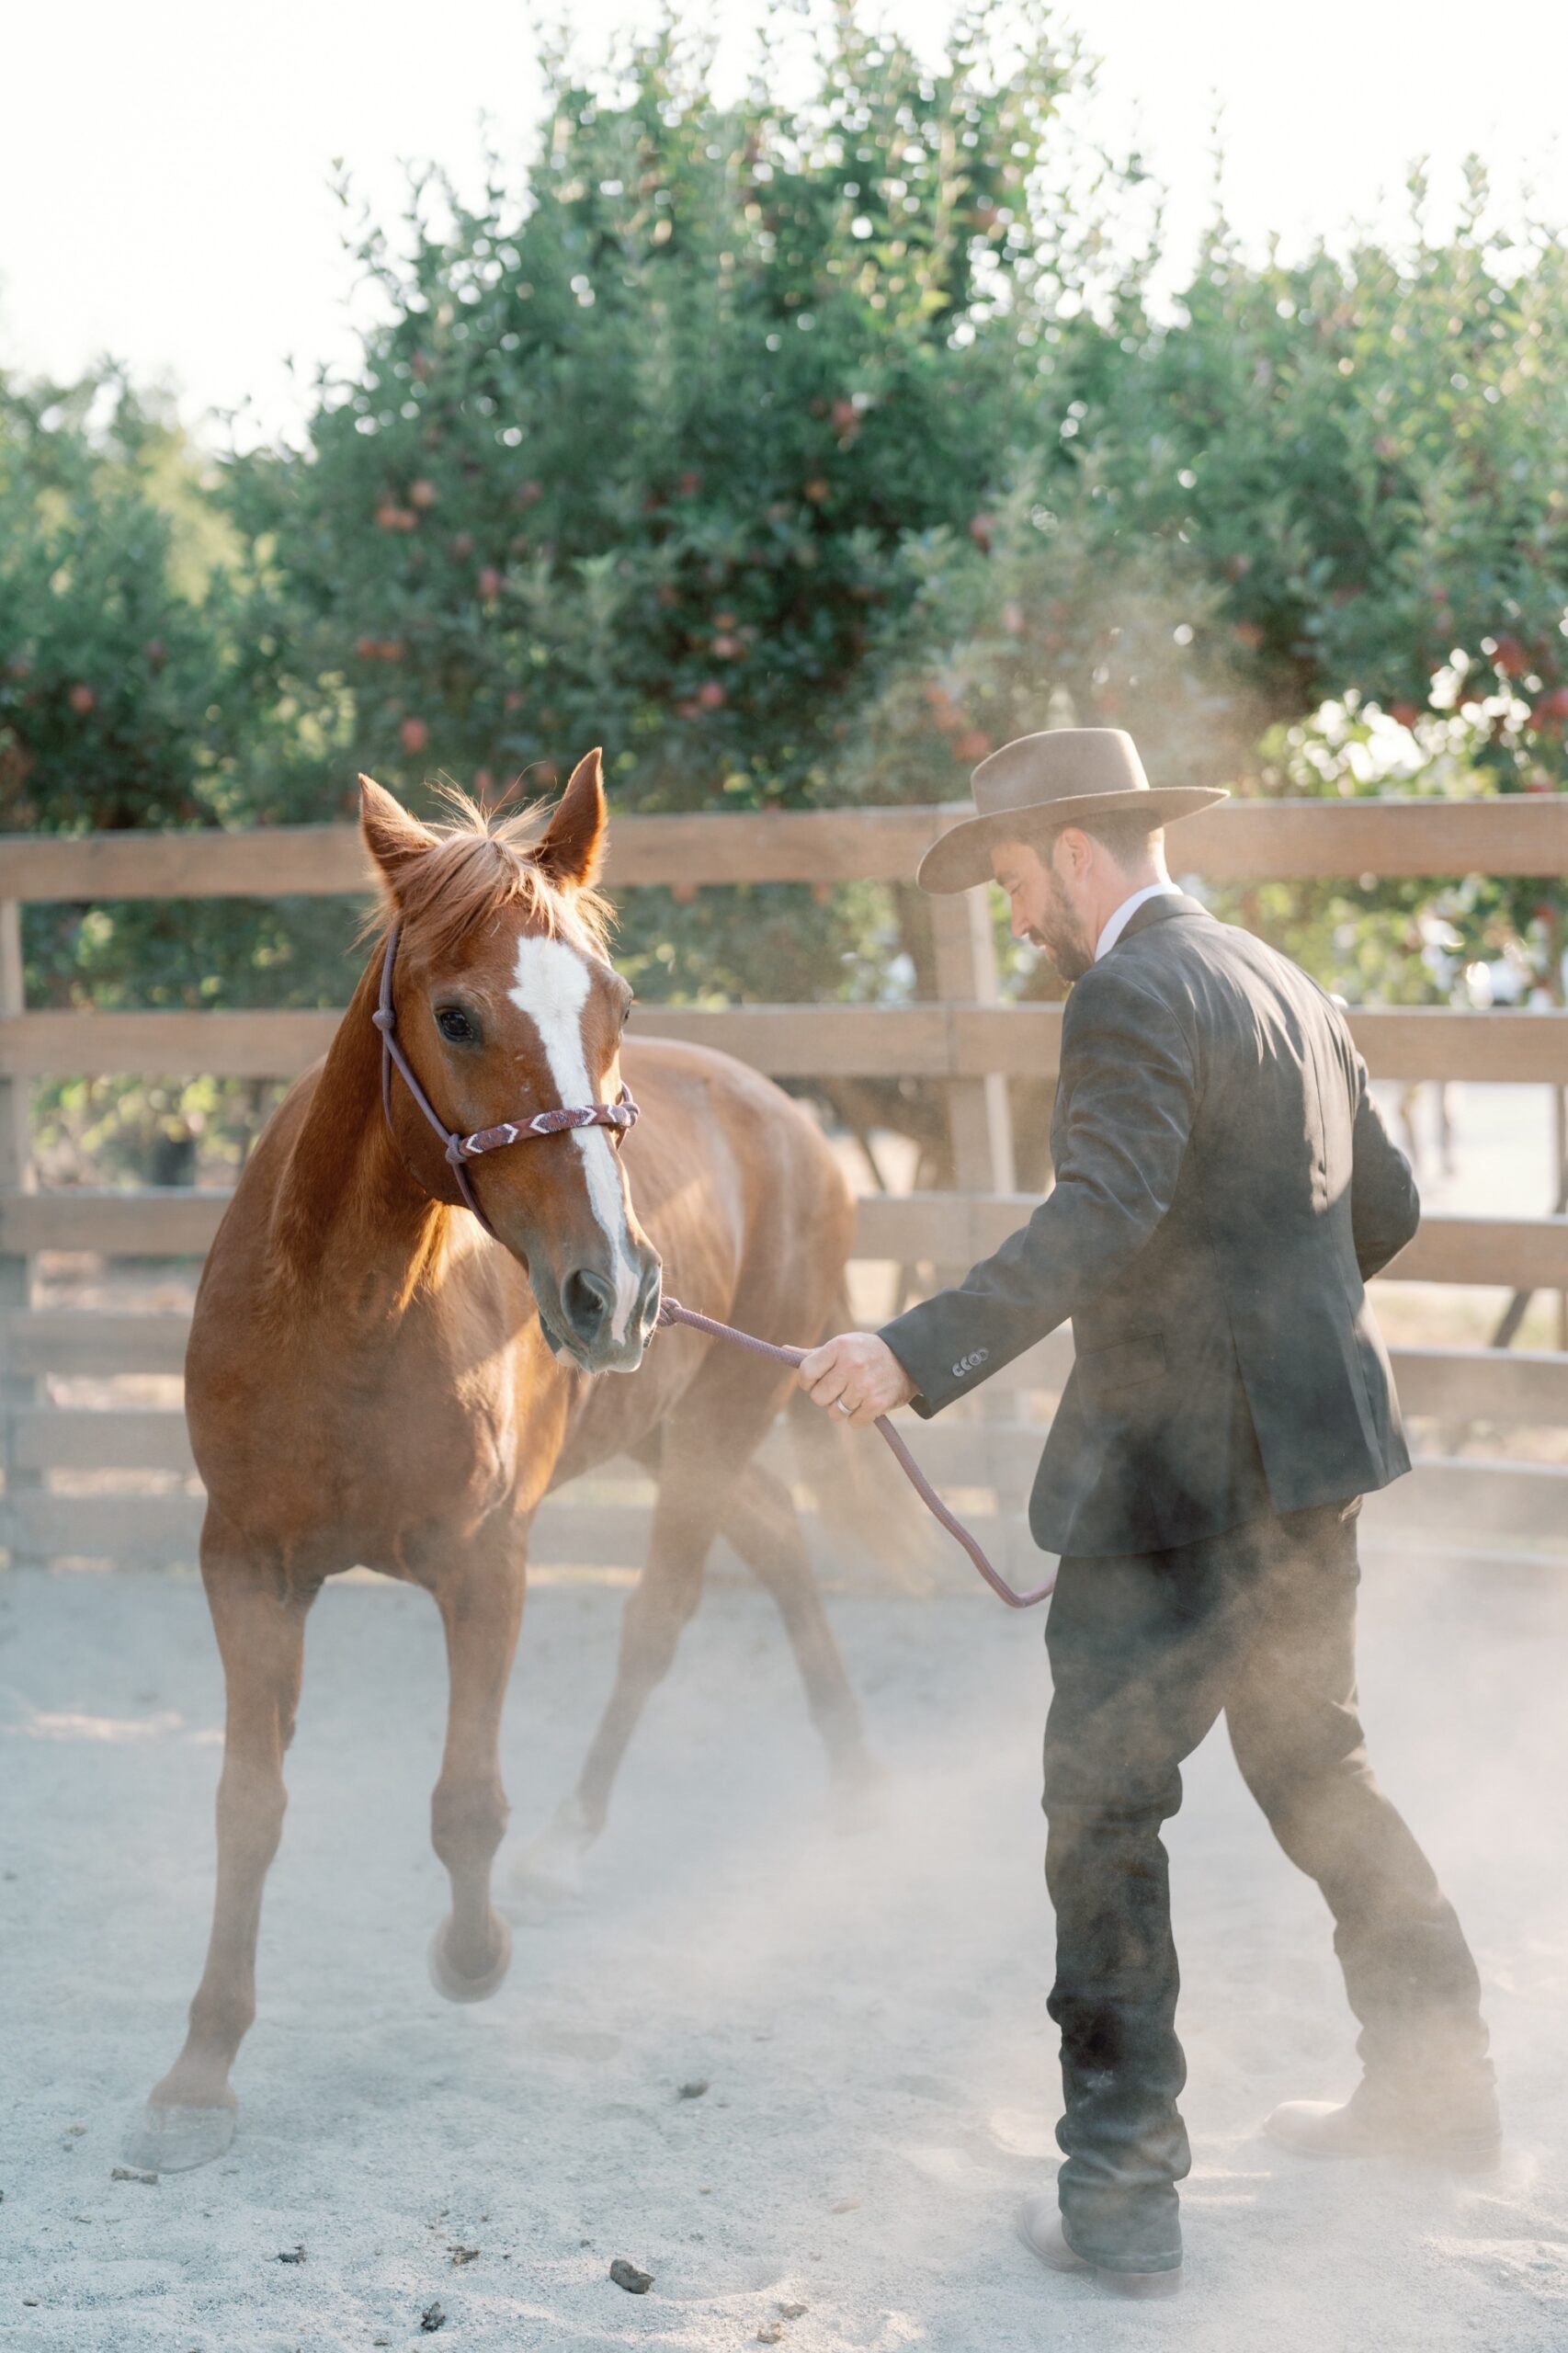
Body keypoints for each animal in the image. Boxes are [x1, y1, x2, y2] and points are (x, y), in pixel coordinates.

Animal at [125, 757, 881, 2165]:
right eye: (457, 1016)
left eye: (616, 1004)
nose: (613, 1291)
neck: (350, 1319)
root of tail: (789, 1121)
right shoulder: (246, 1568)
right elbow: (247, 1806)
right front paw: (200, 2067)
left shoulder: (487, 1566)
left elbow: (464, 1800)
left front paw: (471, 1956)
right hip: (678, 1431)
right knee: (775, 1545)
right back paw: (852, 1776)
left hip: (715, 1425)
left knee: (664, 1611)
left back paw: (577, 1846)